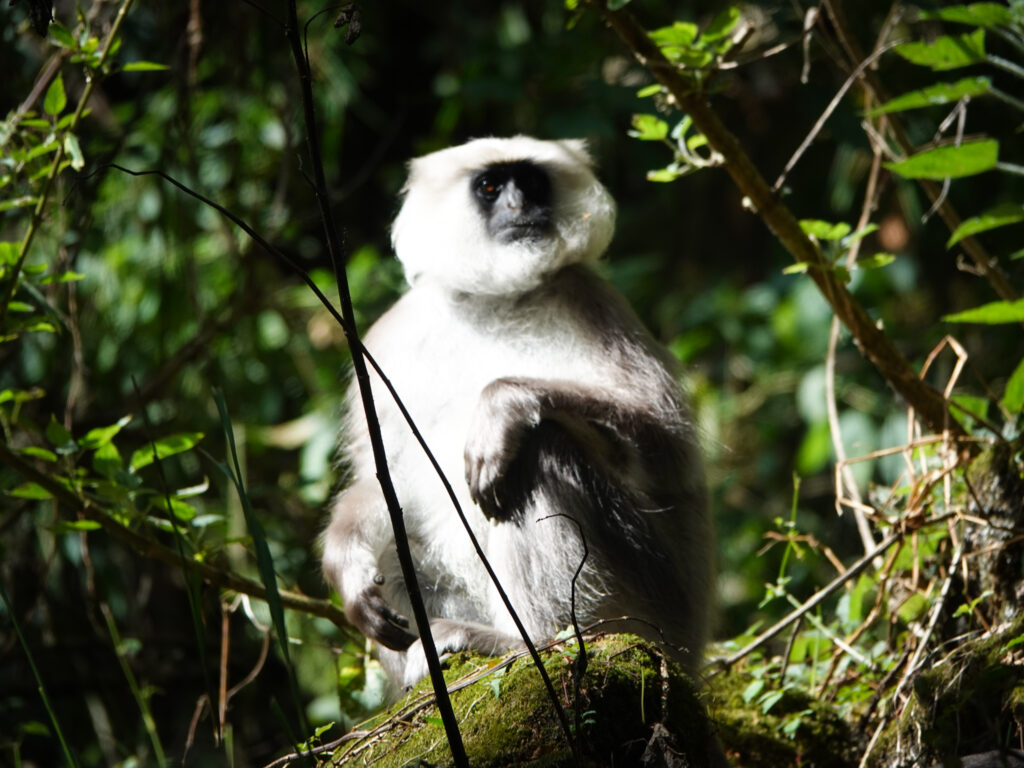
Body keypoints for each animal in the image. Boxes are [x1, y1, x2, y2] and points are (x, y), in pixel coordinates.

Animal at [321, 136, 714, 692]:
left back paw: (527, 640)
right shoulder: (387, 342)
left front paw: (499, 407)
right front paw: (348, 568)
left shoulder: (590, 297)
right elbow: (384, 475)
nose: (520, 205)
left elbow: (668, 446)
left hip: (653, 605)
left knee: (540, 449)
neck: (496, 300)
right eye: (490, 186)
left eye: (530, 182)